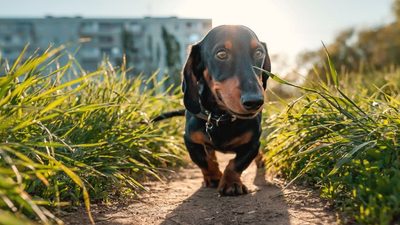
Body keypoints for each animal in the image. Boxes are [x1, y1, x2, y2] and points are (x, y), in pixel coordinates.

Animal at [182, 25, 272, 196]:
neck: (222, 118)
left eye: (259, 53)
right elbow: (204, 161)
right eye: (221, 54)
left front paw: (231, 183)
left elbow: (236, 164)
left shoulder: (253, 143)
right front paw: (214, 177)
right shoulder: (190, 140)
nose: (255, 101)